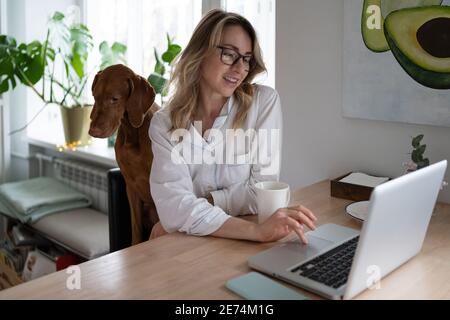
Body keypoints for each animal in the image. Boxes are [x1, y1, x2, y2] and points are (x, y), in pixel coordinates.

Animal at [89, 64, 159, 245]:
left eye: (114, 99)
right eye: (95, 97)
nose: (93, 131)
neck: (133, 132)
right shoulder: (131, 186)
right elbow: (135, 230)